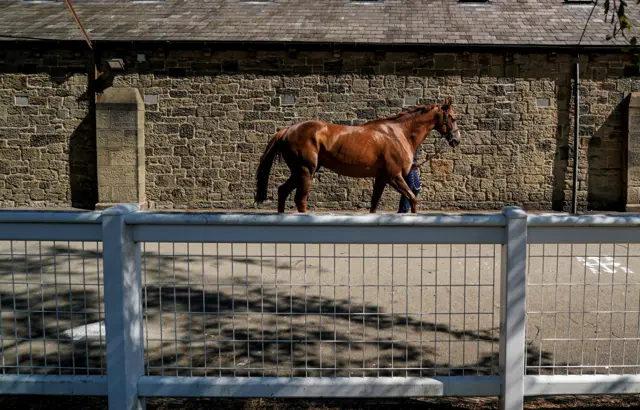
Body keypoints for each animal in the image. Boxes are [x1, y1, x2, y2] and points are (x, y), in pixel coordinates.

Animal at [255, 98, 460, 215]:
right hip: (306, 171)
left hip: (298, 172)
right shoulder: (394, 176)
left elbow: (374, 203)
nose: (456, 139)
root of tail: (288, 129)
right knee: (300, 199)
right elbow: (413, 198)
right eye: (452, 117)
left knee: (282, 191)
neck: (397, 133)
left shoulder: (382, 178)